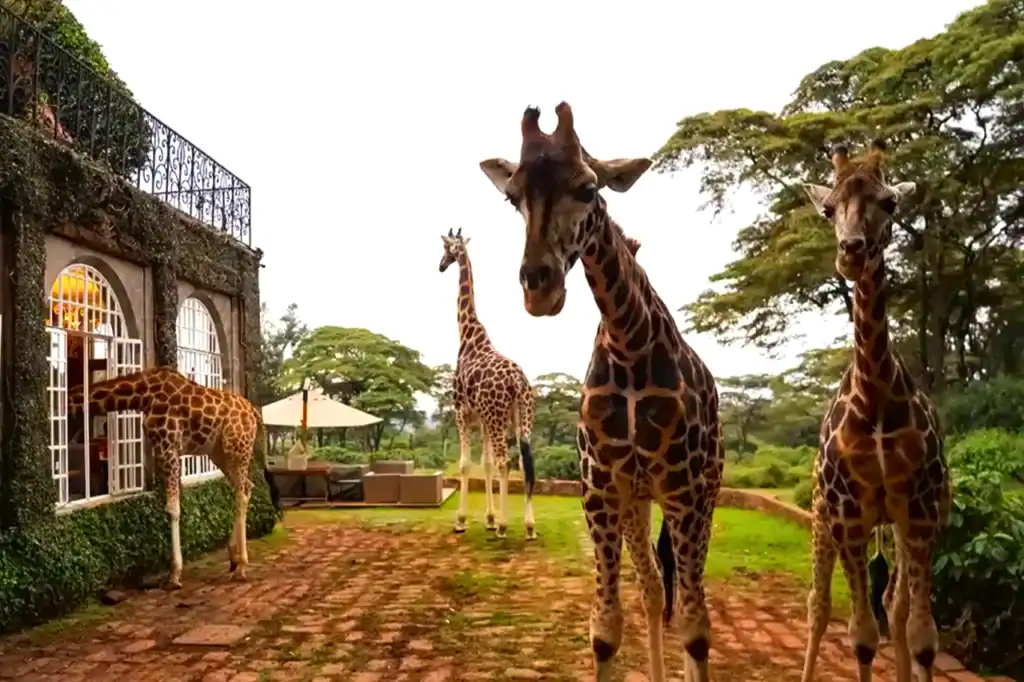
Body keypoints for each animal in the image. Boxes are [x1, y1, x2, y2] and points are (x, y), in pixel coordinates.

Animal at [69, 367, 281, 590]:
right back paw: (233, 557)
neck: (143, 395)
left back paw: (242, 567)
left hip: (237, 447)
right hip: (219, 452)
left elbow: (172, 508)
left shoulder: (168, 446)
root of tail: (254, 413)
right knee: (248, 487)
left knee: (241, 493)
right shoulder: (162, 449)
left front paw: (175, 575)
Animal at [438, 227, 538, 539]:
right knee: (524, 462)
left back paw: (506, 526)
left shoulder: (461, 410)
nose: (441, 265)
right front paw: (489, 519)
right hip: (521, 417)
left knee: (507, 461)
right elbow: (486, 464)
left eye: (446, 248)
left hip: (497, 416)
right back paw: (529, 526)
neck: (468, 334)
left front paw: (462, 521)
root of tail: (518, 382)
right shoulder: (482, 417)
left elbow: (466, 464)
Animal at [479, 102, 723, 682]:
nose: (540, 289)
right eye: (512, 196)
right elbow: (606, 630)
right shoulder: (602, 491)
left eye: (589, 188)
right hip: (639, 501)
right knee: (654, 588)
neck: (628, 343)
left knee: (688, 600)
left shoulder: (682, 492)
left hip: (706, 491)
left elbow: (696, 629)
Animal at [800, 141, 951, 682]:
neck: (876, 396)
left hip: (903, 522)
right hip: (822, 514)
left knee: (897, 606)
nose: (851, 251)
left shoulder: (922, 514)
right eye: (827, 209)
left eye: (890, 203)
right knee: (819, 605)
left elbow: (921, 635)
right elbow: (862, 638)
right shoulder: (847, 515)